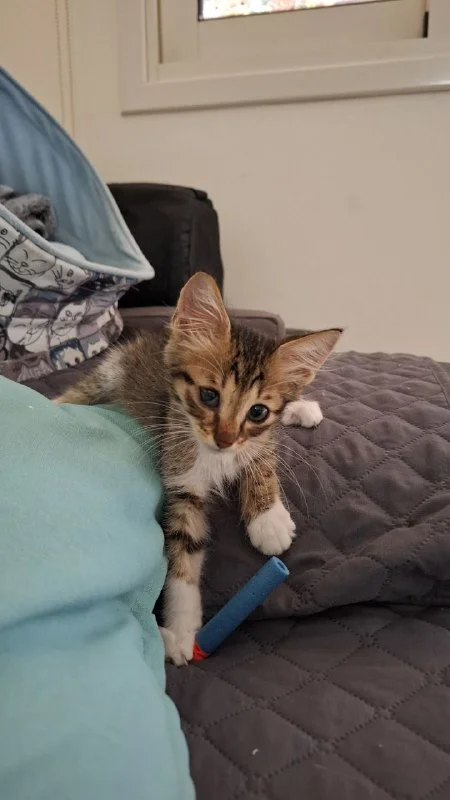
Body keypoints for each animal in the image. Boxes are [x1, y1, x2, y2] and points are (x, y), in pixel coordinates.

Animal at [56, 272, 341, 665]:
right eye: (209, 396)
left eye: (258, 412)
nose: (224, 439)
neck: (215, 456)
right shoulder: (180, 481)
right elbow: (183, 551)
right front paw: (182, 630)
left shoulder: (258, 436)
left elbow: (262, 454)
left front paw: (268, 520)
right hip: (112, 371)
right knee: (77, 393)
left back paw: (302, 407)